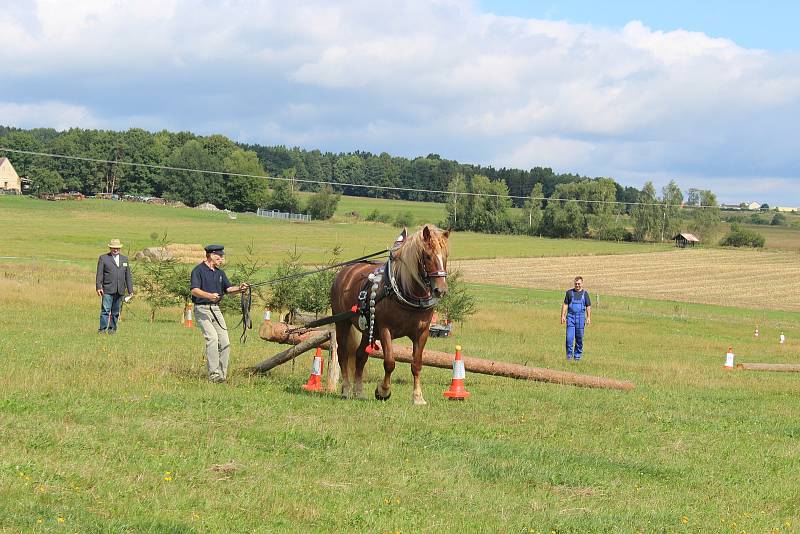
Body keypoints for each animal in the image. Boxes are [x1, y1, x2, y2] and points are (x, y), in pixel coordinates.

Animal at [326, 226, 450, 406]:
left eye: (445, 256)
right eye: (428, 256)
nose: (440, 290)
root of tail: (345, 271)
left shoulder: (422, 333)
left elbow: (416, 364)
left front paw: (418, 397)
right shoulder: (385, 330)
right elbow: (390, 362)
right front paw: (383, 391)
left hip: (368, 330)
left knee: (360, 356)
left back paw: (359, 391)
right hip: (342, 322)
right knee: (343, 353)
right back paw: (347, 390)